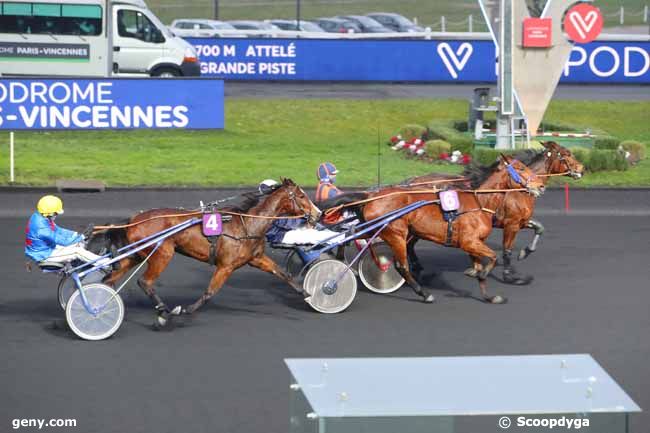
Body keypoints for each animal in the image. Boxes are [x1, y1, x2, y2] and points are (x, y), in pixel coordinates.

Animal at [96, 178, 318, 324]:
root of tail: (134, 219)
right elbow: (209, 292)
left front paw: (308, 293)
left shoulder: (256, 258)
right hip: (162, 252)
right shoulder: (226, 266)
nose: (317, 213)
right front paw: (184, 310)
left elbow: (283, 273)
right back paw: (164, 311)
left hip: (135, 255)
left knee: (110, 279)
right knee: (145, 282)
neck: (248, 225)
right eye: (301, 195)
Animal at [404, 141, 584, 284]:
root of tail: (411, 181)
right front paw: (509, 276)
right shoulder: (511, 224)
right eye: (567, 154)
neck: (513, 190)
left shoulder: (521, 221)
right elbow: (507, 250)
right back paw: (416, 268)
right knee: (409, 244)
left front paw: (524, 252)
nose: (582, 169)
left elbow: (539, 228)